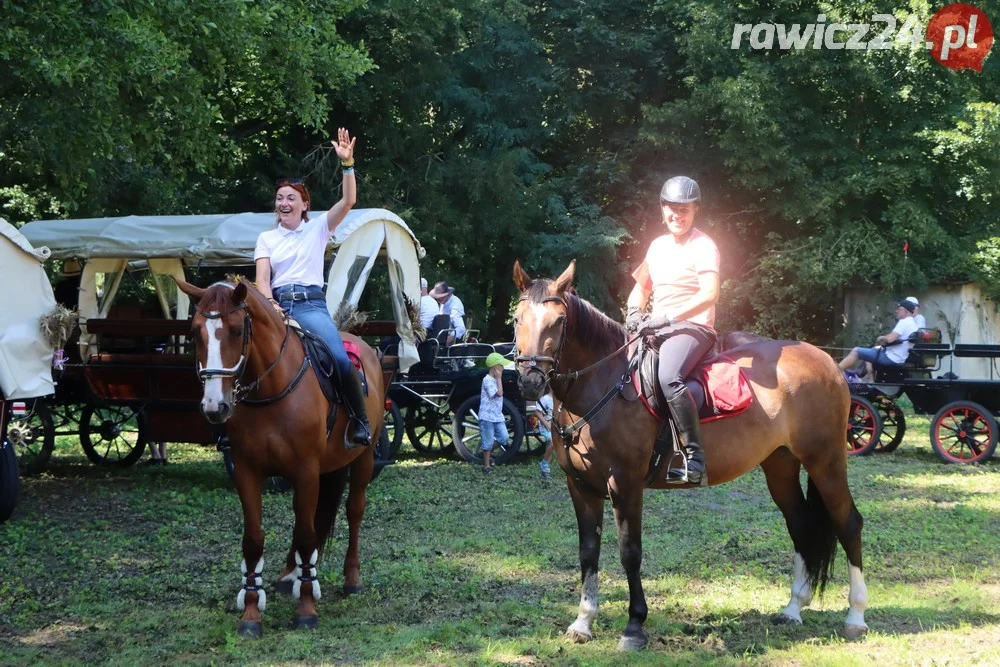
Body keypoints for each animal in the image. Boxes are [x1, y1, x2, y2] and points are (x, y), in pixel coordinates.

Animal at [176, 276, 382, 636]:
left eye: (235, 330)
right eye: (195, 332)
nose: (215, 406)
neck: (271, 387)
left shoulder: (306, 471)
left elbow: (307, 536)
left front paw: (307, 610)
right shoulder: (247, 472)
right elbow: (255, 539)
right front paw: (251, 613)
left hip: (364, 458)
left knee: (353, 511)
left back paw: (351, 579)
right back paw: (289, 576)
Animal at [512, 262, 872, 652]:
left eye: (559, 321)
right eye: (517, 318)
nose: (530, 380)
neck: (604, 383)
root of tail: (826, 361)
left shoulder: (624, 483)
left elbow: (630, 552)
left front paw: (634, 626)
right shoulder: (580, 486)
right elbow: (587, 552)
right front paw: (583, 621)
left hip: (826, 461)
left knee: (849, 523)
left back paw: (856, 616)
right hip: (781, 465)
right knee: (801, 524)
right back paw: (793, 608)